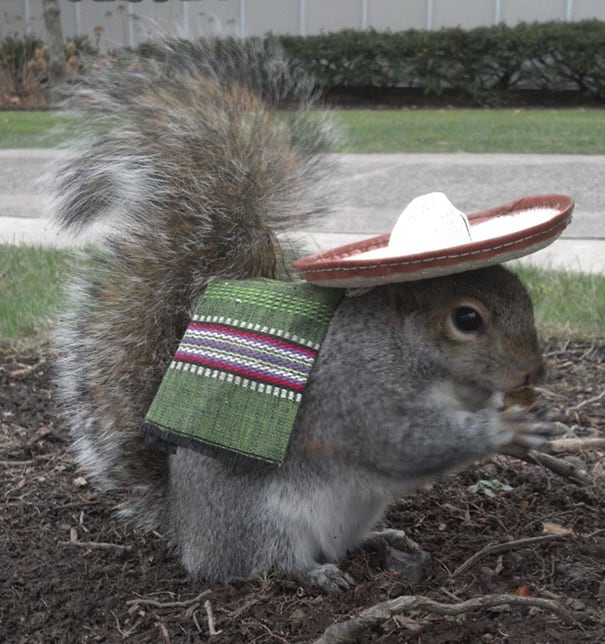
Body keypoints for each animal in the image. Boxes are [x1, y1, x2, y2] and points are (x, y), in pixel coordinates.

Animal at [54, 40, 556, 592]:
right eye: (466, 320)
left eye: (523, 292)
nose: (533, 372)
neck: (419, 357)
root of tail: (186, 532)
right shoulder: (360, 391)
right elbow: (404, 442)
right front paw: (503, 431)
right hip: (263, 519)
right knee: (269, 561)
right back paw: (316, 574)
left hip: (356, 510)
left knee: (346, 540)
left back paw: (382, 539)